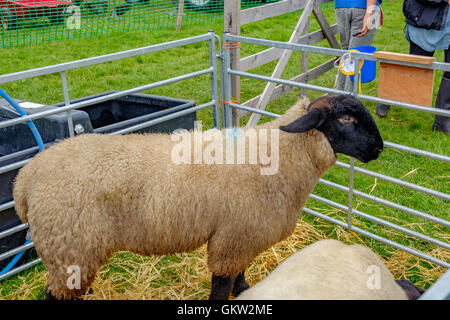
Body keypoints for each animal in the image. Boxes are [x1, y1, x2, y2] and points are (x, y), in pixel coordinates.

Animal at [14, 94, 384, 298]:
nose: (379, 149)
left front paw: (246, 291)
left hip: (73, 251)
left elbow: (240, 277)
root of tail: (26, 178)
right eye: (346, 118)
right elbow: (221, 285)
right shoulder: (232, 239)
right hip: (69, 246)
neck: (277, 154)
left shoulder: (241, 237)